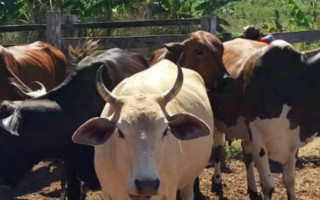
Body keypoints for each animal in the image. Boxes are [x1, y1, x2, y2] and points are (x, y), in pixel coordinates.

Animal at [71, 59, 214, 200]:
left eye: (165, 131)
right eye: (120, 132)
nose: (147, 185)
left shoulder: (169, 192)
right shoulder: (107, 192)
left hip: (190, 177)